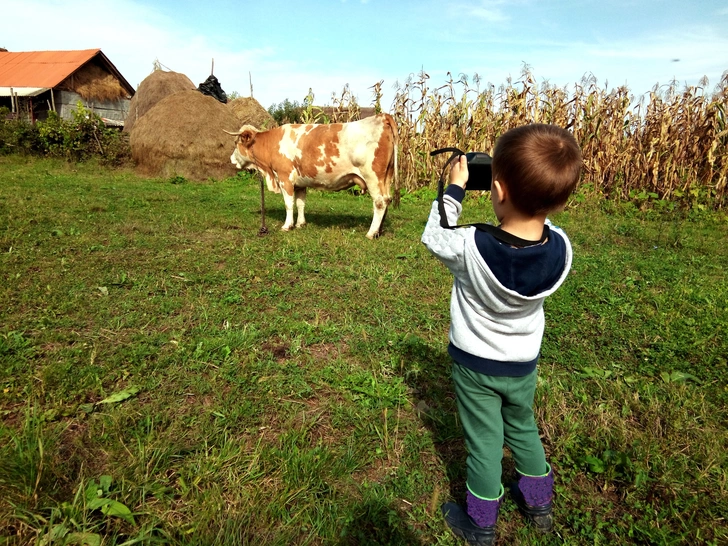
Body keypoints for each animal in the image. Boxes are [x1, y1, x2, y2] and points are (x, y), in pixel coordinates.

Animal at [228, 112, 398, 238]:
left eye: (236, 143)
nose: (231, 159)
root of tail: (381, 116)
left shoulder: (285, 178)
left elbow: (288, 204)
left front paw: (287, 225)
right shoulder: (300, 183)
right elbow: (300, 203)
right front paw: (300, 224)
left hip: (373, 177)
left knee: (379, 202)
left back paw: (371, 233)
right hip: (386, 177)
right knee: (387, 200)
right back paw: (379, 231)